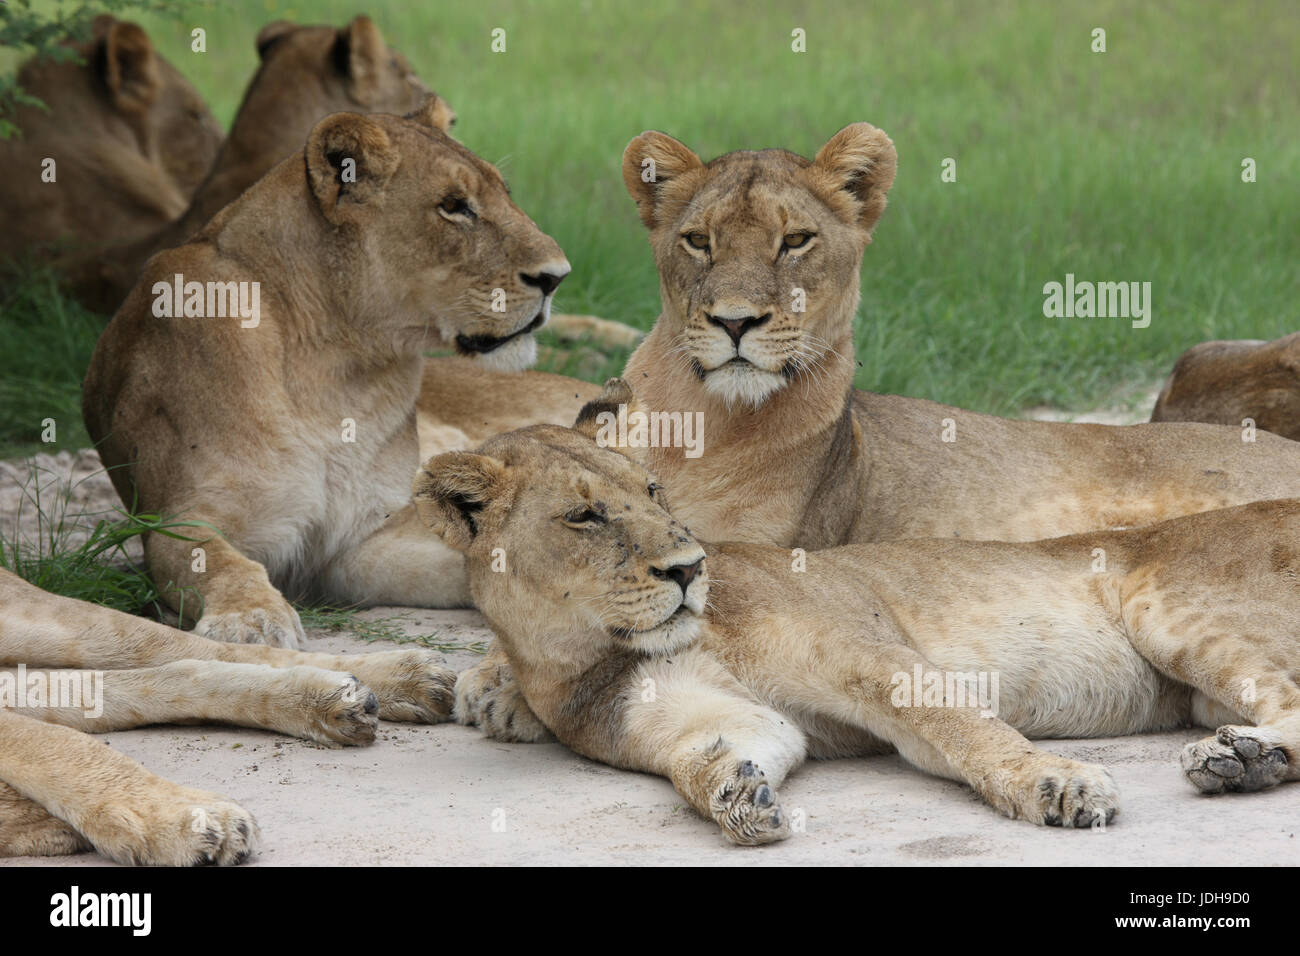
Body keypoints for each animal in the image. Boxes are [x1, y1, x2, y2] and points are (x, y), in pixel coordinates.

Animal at [0, 564, 457, 864]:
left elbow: (59, 745)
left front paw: (176, 819)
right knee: (173, 672)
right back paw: (336, 700)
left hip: (61, 626)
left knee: (200, 648)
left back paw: (404, 677)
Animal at [83, 100, 572, 651]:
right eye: (454, 206)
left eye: (504, 194)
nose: (558, 276)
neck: (340, 366)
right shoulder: (179, 518)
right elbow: (221, 563)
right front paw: (252, 618)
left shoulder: (362, 537)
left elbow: (480, 558)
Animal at [414, 390, 1300, 845]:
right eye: (585, 517)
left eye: (653, 491)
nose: (689, 567)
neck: (590, 651)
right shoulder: (718, 717)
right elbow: (705, 758)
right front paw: (735, 793)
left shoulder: (867, 653)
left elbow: (961, 730)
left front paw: (1055, 784)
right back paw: (1246, 762)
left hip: (1171, 606)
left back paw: (1239, 760)